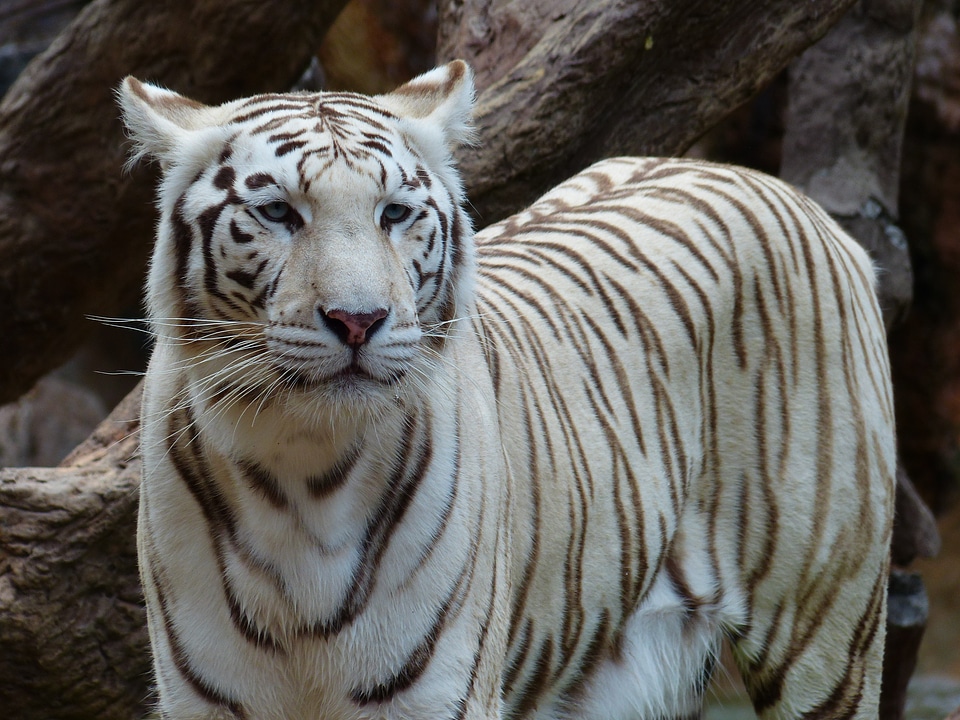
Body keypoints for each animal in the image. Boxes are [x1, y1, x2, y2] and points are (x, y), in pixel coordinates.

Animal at [118, 59, 892, 716]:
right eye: (278, 213)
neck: (304, 466)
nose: (358, 320)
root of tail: (768, 184)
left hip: (827, 638)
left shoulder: (438, 694)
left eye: (394, 213)